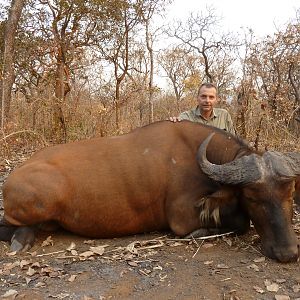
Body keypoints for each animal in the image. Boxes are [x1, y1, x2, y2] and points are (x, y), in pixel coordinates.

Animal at [0, 122, 298, 262]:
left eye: (289, 194)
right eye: (252, 197)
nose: (288, 253)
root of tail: (13, 176)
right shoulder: (181, 218)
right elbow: (240, 223)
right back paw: (21, 239)